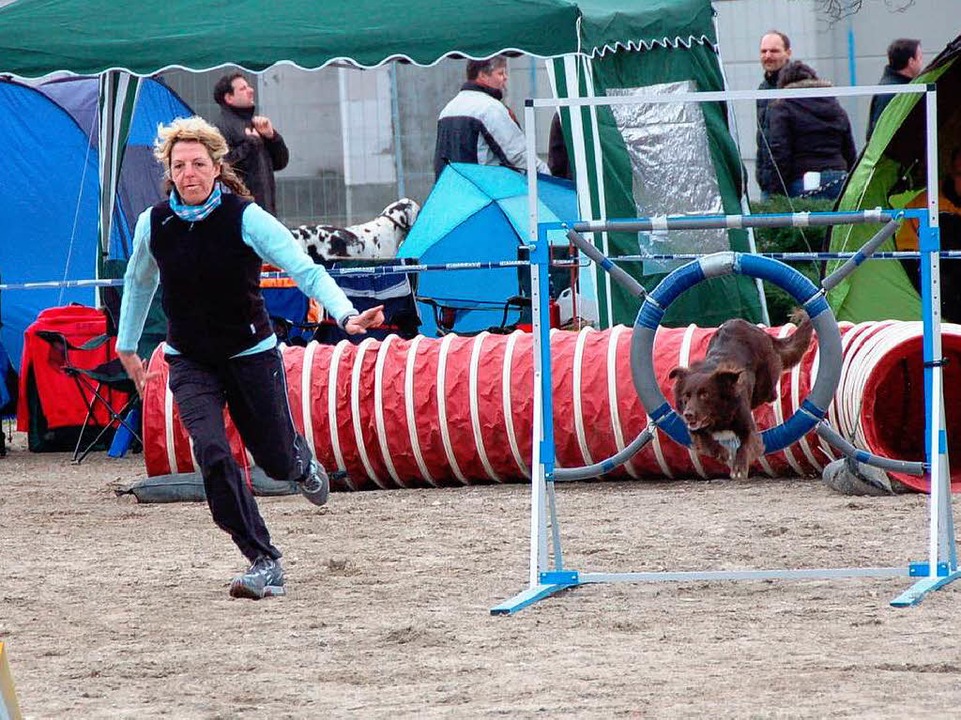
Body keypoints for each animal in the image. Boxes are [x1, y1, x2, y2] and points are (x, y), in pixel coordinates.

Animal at [668, 312, 808, 480]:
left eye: (705, 395)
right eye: (686, 396)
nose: (688, 414)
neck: (719, 415)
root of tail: (755, 328)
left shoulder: (746, 424)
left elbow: (745, 445)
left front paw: (739, 468)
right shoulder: (695, 428)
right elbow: (704, 438)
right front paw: (720, 452)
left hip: (764, 384)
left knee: (770, 394)